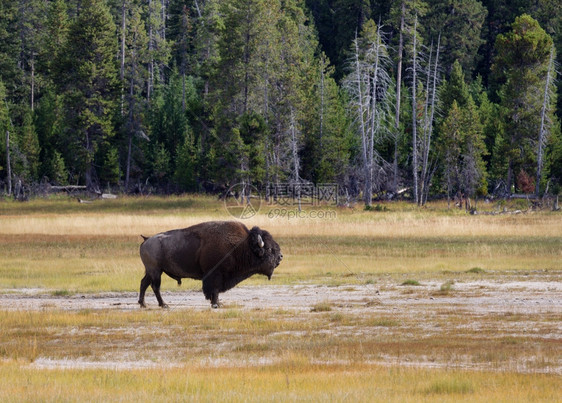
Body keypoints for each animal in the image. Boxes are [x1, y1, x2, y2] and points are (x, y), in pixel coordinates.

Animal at [138, 221, 282, 310]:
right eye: (269, 249)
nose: (281, 257)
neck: (242, 246)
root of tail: (146, 240)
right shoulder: (215, 275)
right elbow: (214, 290)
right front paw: (216, 304)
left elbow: (215, 292)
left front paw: (219, 303)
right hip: (156, 271)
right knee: (155, 287)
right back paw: (164, 305)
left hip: (151, 271)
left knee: (144, 283)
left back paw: (143, 304)